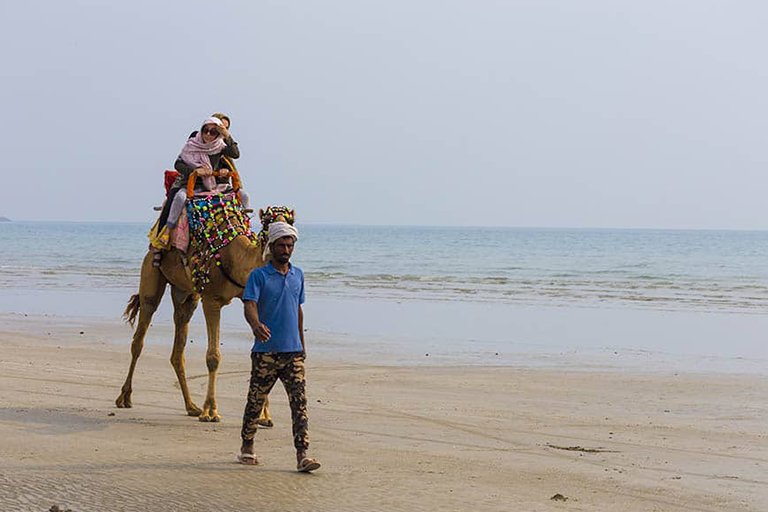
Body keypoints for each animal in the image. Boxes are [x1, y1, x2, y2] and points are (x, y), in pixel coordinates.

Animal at [117, 182, 294, 422]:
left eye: (291, 222)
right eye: (267, 223)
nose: (285, 238)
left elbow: (261, 351)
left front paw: (263, 416)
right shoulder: (212, 299)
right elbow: (213, 356)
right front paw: (211, 411)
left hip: (186, 293)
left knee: (178, 343)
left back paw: (191, 406)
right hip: (152, 271)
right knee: (140, 335)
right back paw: (125, 398)